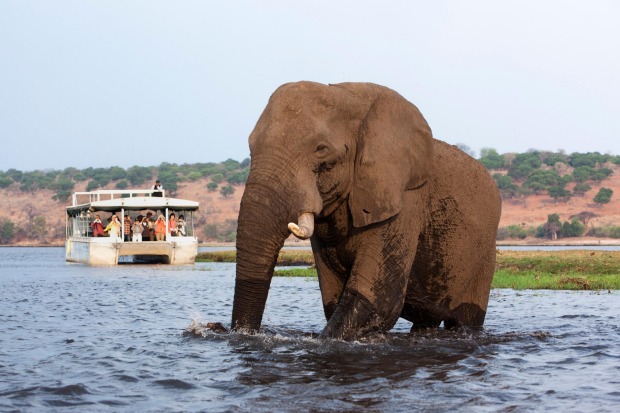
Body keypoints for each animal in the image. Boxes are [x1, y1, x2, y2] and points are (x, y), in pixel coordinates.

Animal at [230, 80, 502, 338]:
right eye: (250, 146)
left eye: (321, 149)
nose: (244, 333)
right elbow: (334, 301)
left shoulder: (403, 202)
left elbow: (375, 301)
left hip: (483, 260)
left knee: (465, 319)